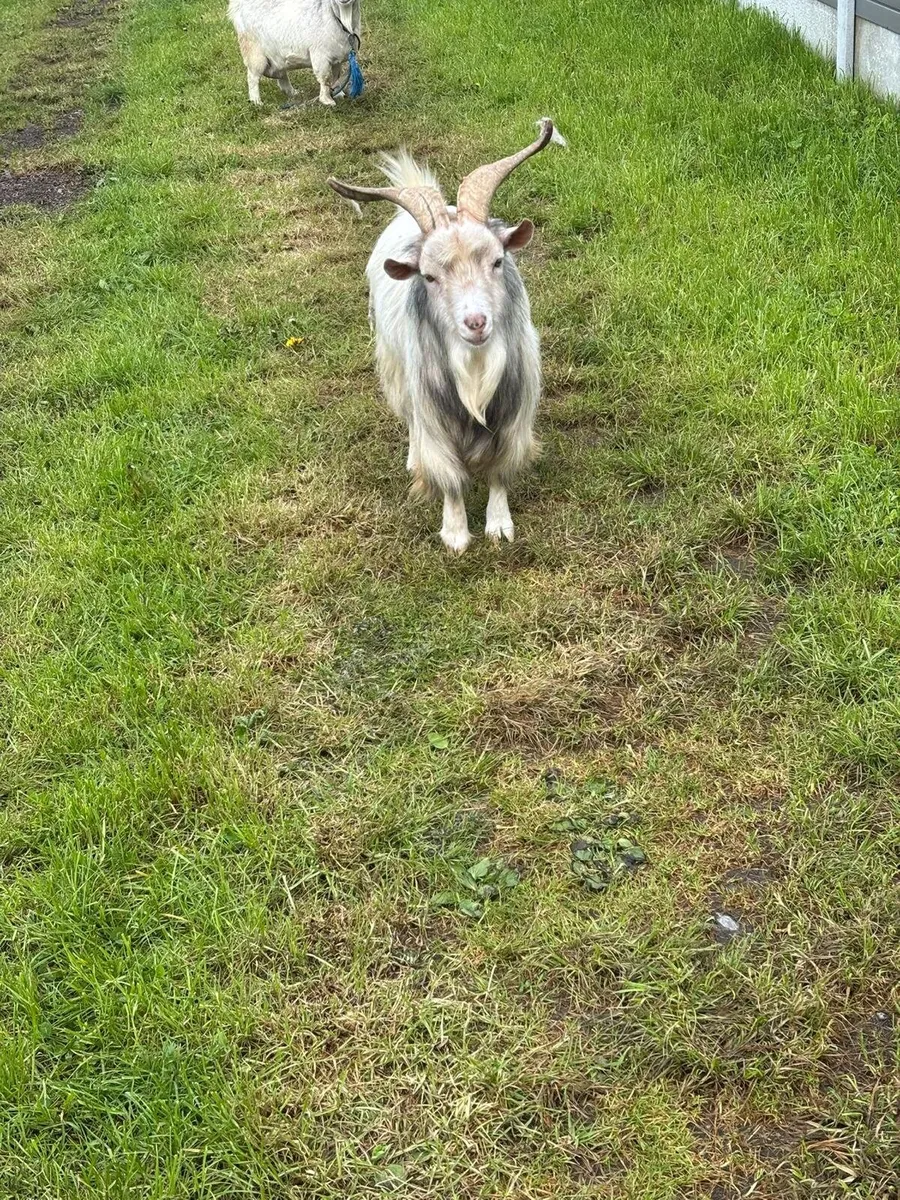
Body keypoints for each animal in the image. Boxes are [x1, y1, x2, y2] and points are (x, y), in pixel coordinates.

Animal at [228, 0, 360, 108]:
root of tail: (236, 6)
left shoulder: (336, 58)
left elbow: (336, 76)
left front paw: (339, 93)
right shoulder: (320, 55)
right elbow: (325, 78)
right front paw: (327, 100)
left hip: (276, 57)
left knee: (281, 74)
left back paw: (293, 92)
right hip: (254, 52)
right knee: (253, 77)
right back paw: (256, 101)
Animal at [328, 120, 559, 553]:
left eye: (497, 261)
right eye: (430, 277)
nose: (476, 322)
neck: (475, 369)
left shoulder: (513, 413)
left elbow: (499, 471)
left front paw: (499, 526)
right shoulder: (433, 410)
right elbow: (448, 476)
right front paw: (455, 534)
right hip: (396, 369)